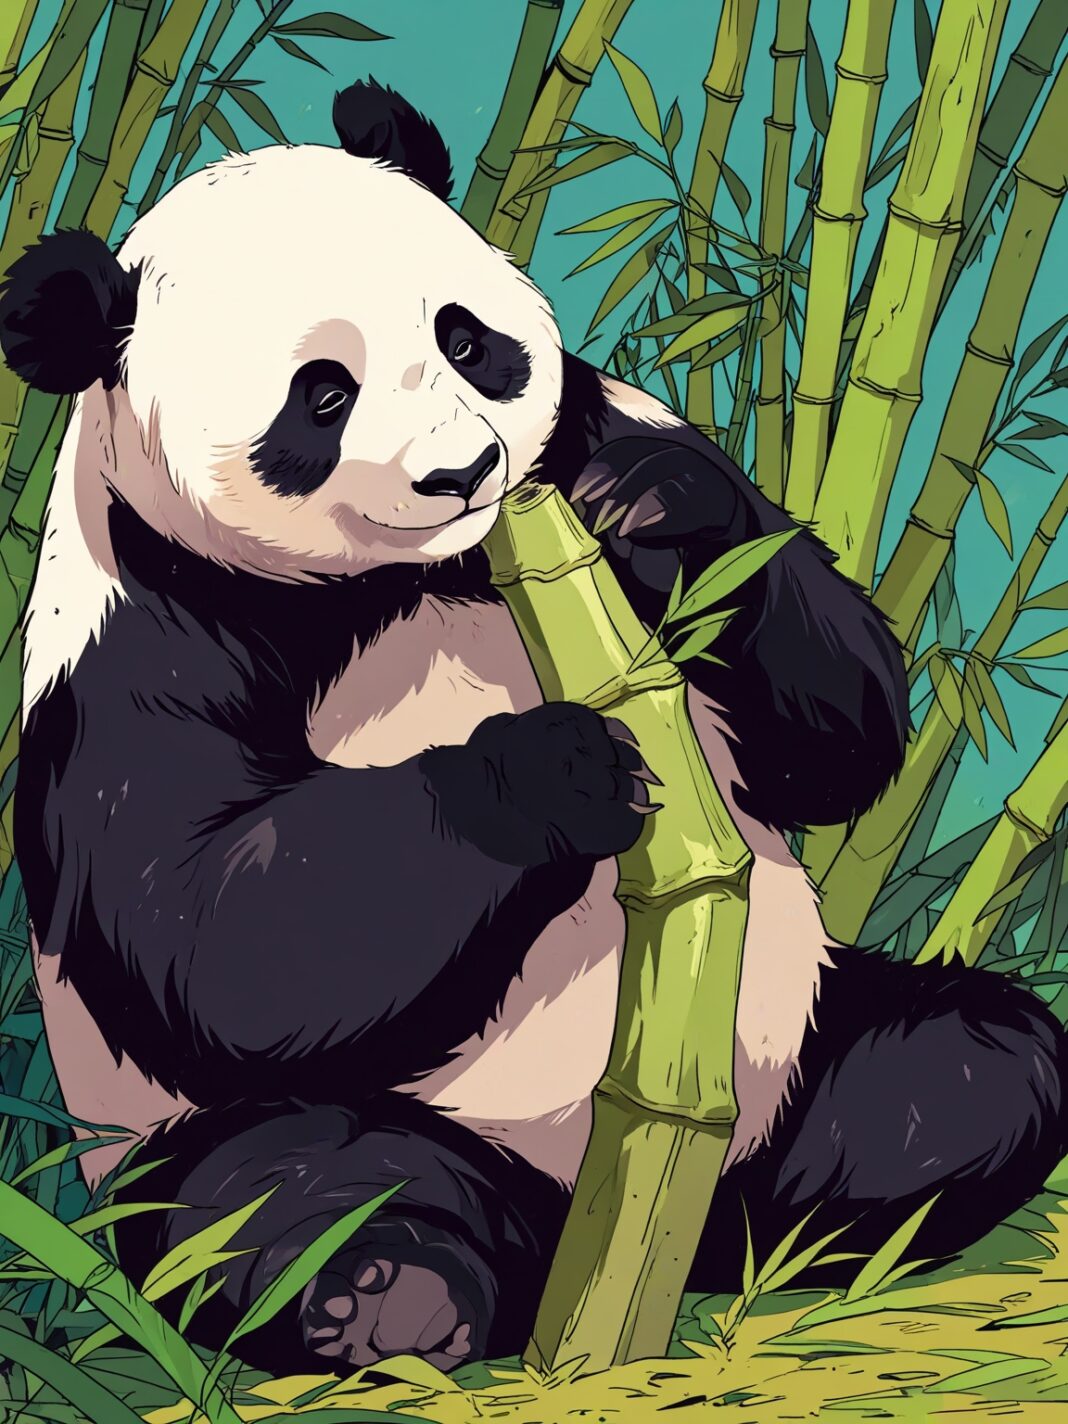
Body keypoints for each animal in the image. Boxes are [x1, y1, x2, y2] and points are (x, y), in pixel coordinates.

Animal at [1, 79, 1065, 1377]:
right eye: (323, 395)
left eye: (467, 339)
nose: (465, 470)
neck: (434, 572)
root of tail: (591, 1227)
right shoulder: (141, 637)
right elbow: (217, 939)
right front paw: (552, 774)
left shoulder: (592, 425)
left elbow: (839, 725)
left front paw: (663, 510)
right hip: (232, 1136)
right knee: (277, 1180)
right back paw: (386, 1291)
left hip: (792, 1053)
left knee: (965, 1069)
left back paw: (806, 1237)